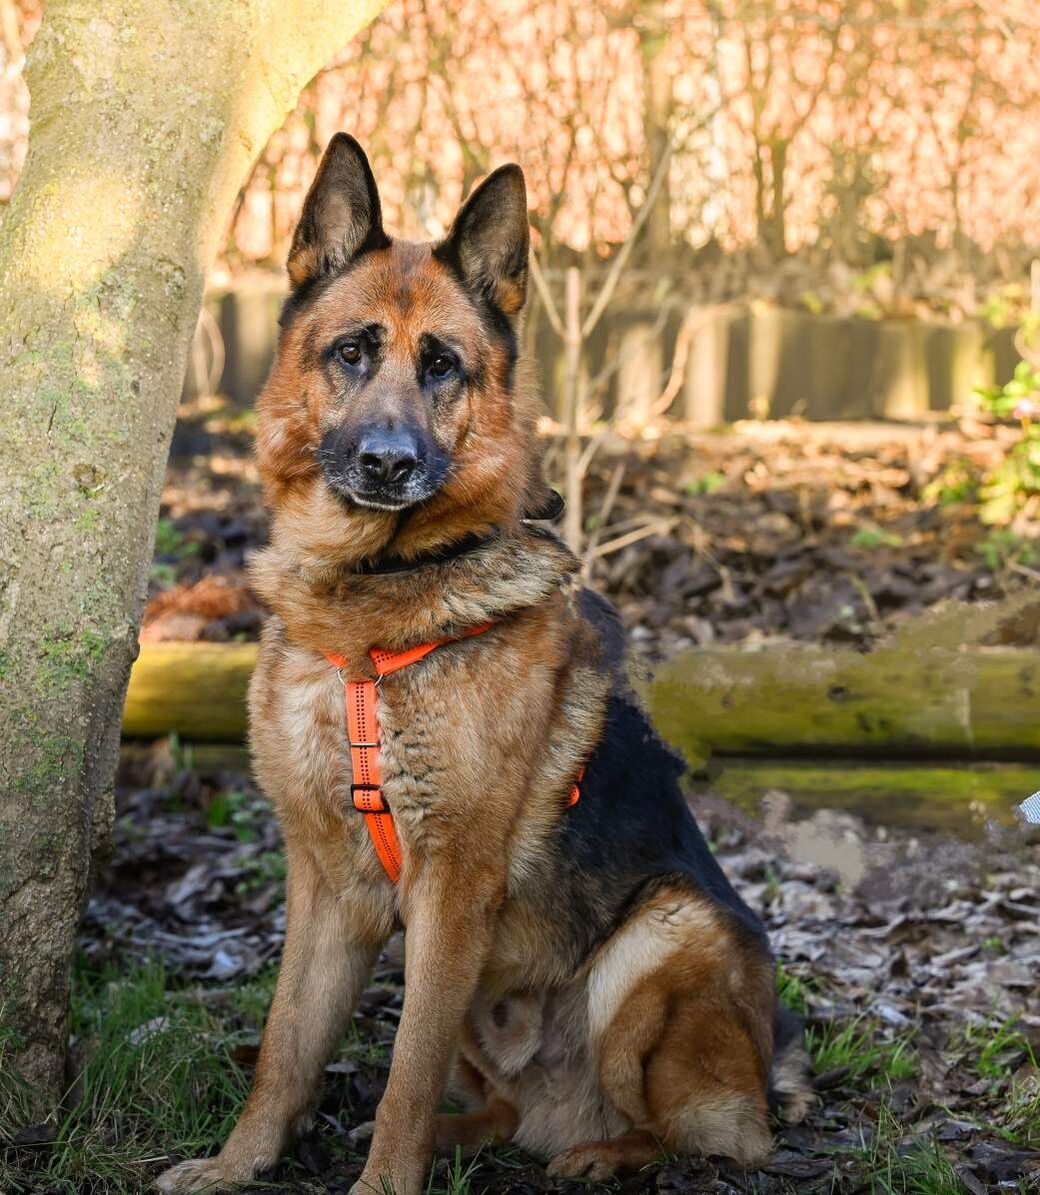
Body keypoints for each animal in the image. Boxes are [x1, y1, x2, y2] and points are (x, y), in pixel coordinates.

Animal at [156, 135, 812, 1190]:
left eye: (442, 365)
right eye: (352, 352)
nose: (386, 463)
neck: (373, 608)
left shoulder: (453, 887)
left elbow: (405, 1066)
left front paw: (385, 1184)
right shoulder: (325, 886)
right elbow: (286, 1042)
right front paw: (238, 1163)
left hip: (664, 938)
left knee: (706, 1131)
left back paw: (598, 1152)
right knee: (503, 1109)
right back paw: (480, 1132)